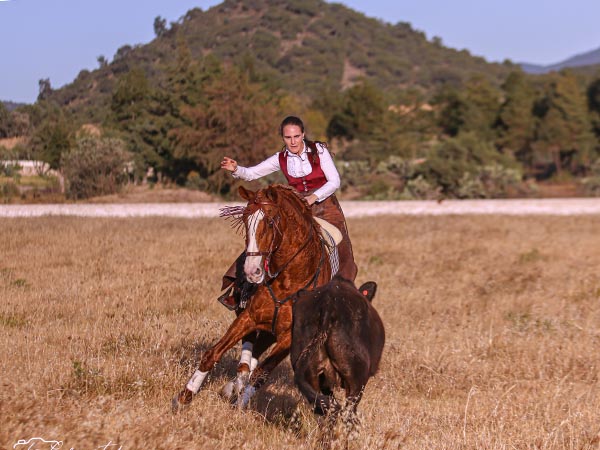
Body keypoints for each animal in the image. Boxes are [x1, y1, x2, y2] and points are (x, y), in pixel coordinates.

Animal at [172, 184, 332, 412]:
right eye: (245, 220)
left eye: (271, 222)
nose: (252, 271)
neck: (290, 280)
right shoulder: (249, 317)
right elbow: (213, 354)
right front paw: (185, 396)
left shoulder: (288, 337)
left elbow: (261, 374)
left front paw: (239, 406)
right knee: (247, 357)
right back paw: (235, 383)